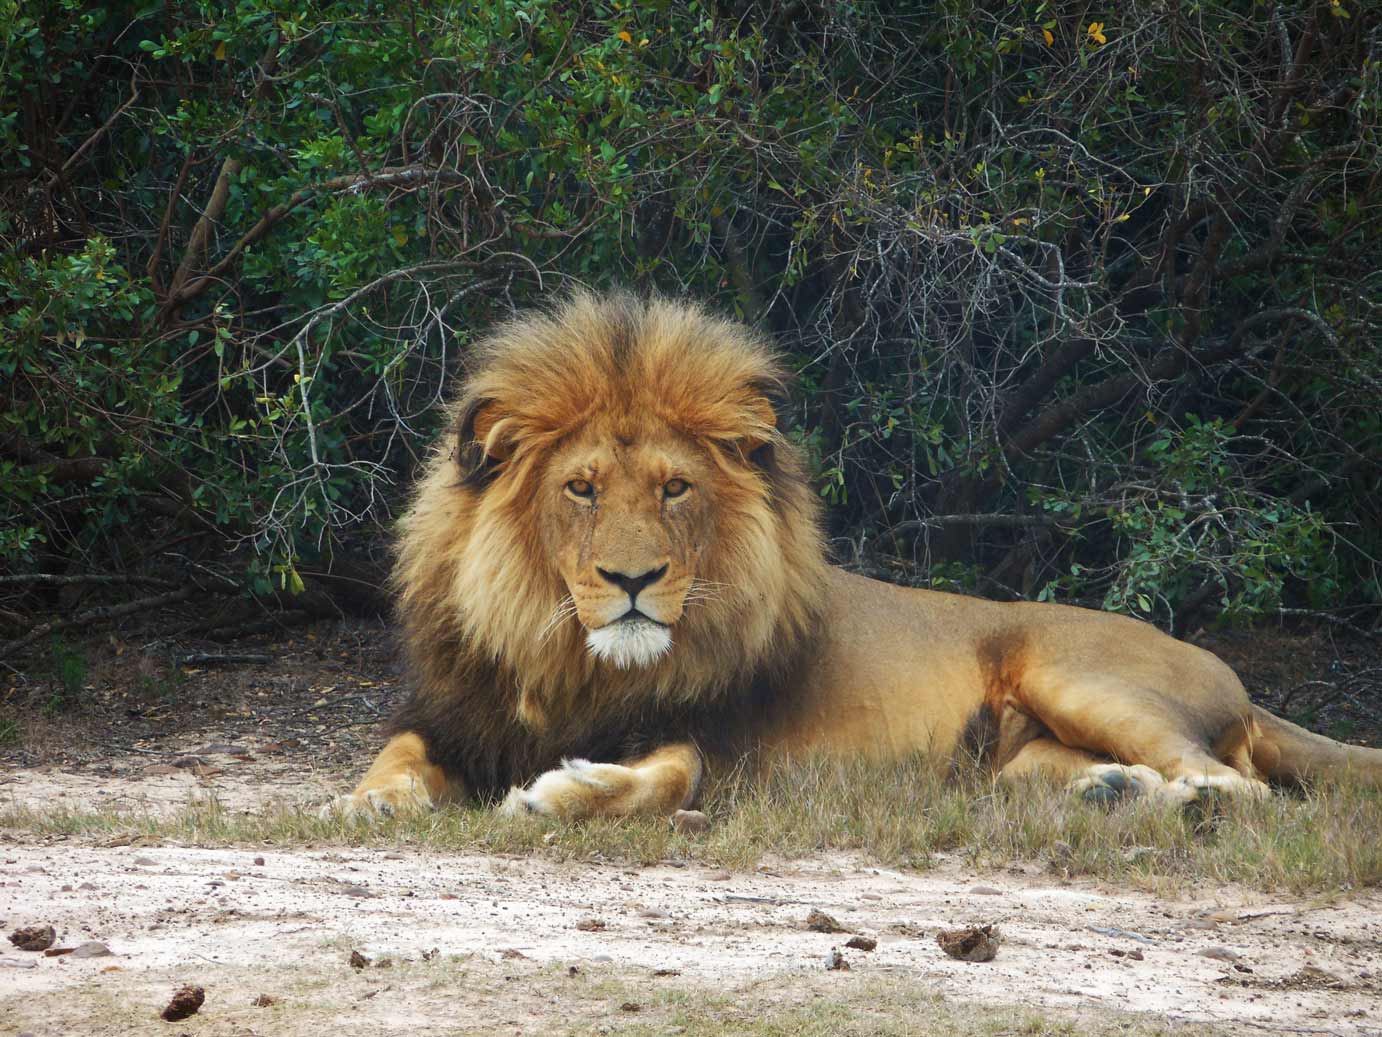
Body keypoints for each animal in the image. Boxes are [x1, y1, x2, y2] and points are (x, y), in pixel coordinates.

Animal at [334, 290, 1382, 818]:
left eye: (675, 489)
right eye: (581, 488)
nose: (633, 581)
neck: (567, 661)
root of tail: (1237, 679)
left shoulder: (719, 744)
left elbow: (669, 776)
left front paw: (564, 793)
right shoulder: (449, 716)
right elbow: (392, 756)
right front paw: (369, 805)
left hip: (1081, 673)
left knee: (1243, 786)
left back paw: (1177, 799)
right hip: (1017, 759)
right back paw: (1112, 793)